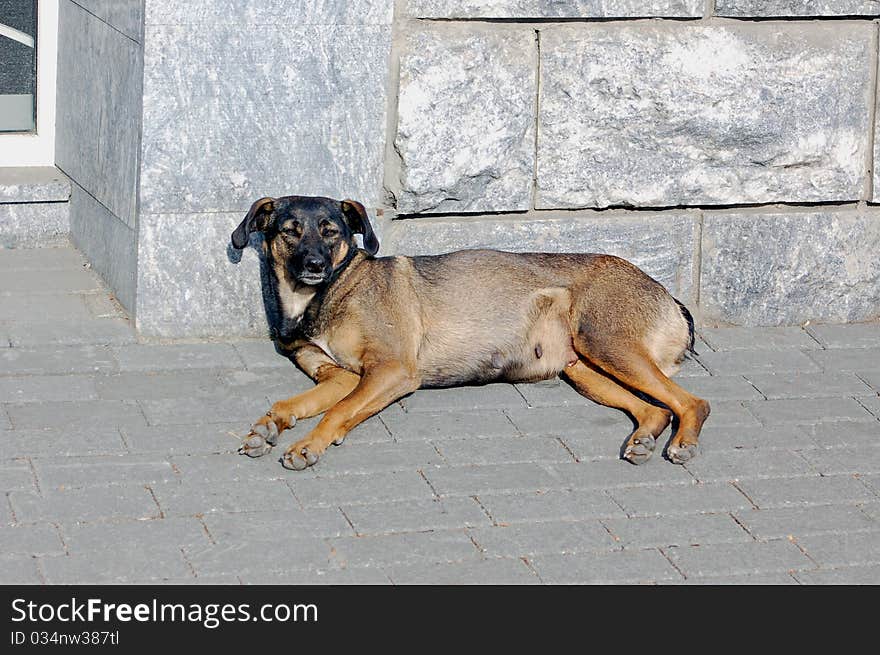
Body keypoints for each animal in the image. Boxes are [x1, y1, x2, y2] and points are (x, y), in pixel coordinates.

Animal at [229, 195, 708, 472]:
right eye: (289, 232)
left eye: (331, 232)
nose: (314, 265)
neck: (323, 296)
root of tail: (667, 295)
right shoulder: (339, 376)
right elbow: (290, 403)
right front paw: (269, 426)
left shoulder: (391, 371)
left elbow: (337, 412)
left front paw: (309, 445)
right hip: (584, 369)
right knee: (655, 410)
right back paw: (644, 439)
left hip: (606, 343)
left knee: (692, 403)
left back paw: (683, 442)